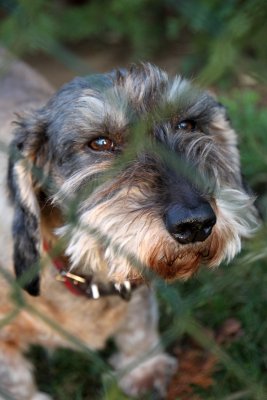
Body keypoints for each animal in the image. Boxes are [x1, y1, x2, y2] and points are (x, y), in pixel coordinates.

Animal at [0, 50, 260, 400]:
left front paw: (143, 368)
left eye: (187, 124)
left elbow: (138, 326)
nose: (195, 223)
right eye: (99, 143)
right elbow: (13, 377)